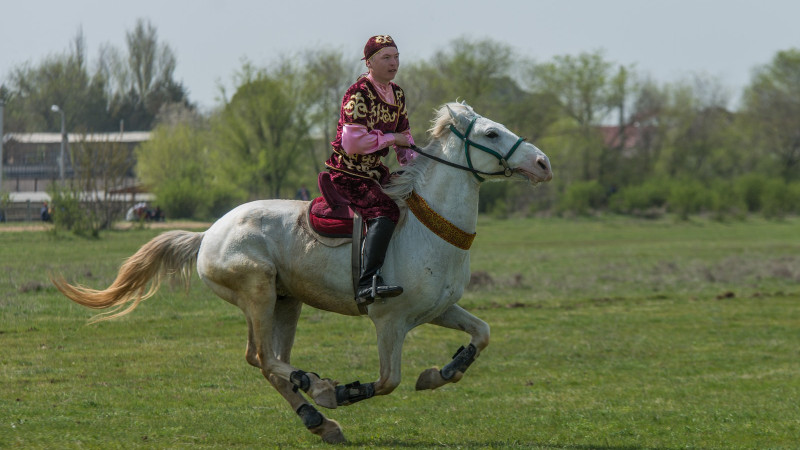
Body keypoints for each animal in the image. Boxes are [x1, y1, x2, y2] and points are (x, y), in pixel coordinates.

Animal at [53, 102, 552, 442]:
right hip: (257, 292)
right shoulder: (389, 321)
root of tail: (208, 234)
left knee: (265, 361)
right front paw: (345, 391)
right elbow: (386, 381)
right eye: (491, 132)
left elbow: (482, 333)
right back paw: (320, 390)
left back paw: (318, 420)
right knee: (264, 358)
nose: (543, 163)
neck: (429, 230)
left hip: (285, 302)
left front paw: (441, 373)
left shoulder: (437, 310)